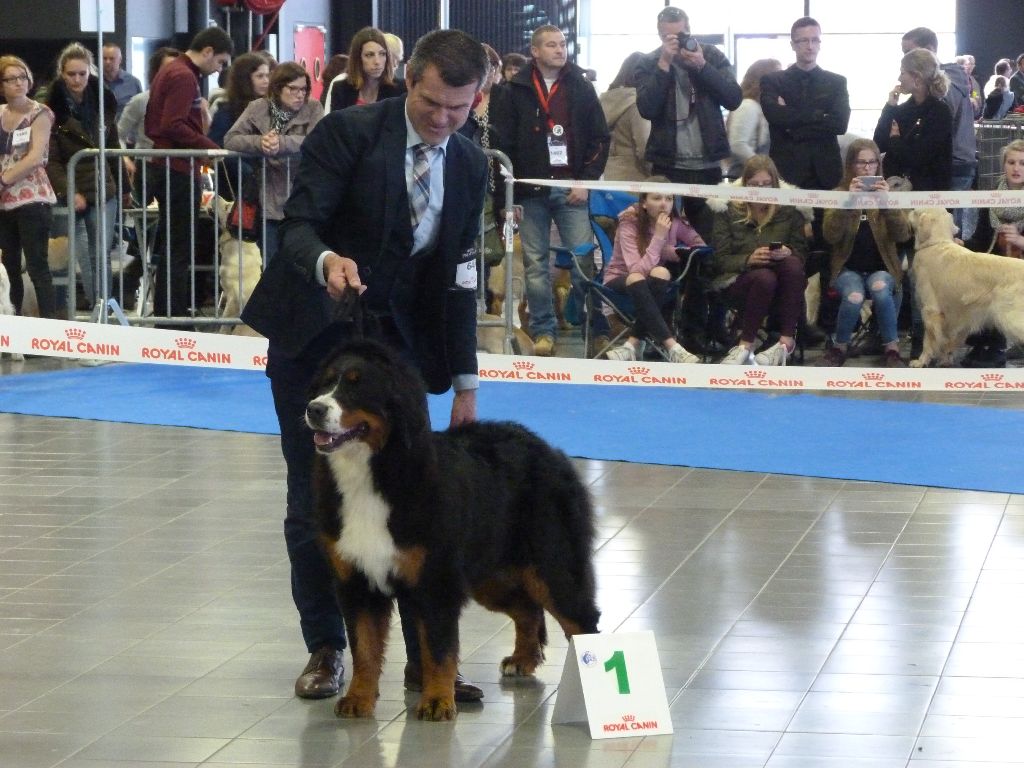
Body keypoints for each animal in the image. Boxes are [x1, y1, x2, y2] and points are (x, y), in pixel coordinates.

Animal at [303, 339, 598, 724]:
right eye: (324, 383)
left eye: (356, 385)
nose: (314, 409)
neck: (374, 474)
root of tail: (550, 450)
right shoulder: (356, 580)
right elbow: (364, 649)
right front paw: (358, 699)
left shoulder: (436, 581)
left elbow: (439, 650)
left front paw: (438, 701)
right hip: (490, 576)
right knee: (528, 610)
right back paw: (522, 660)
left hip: (553, 566)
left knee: (583, 621)